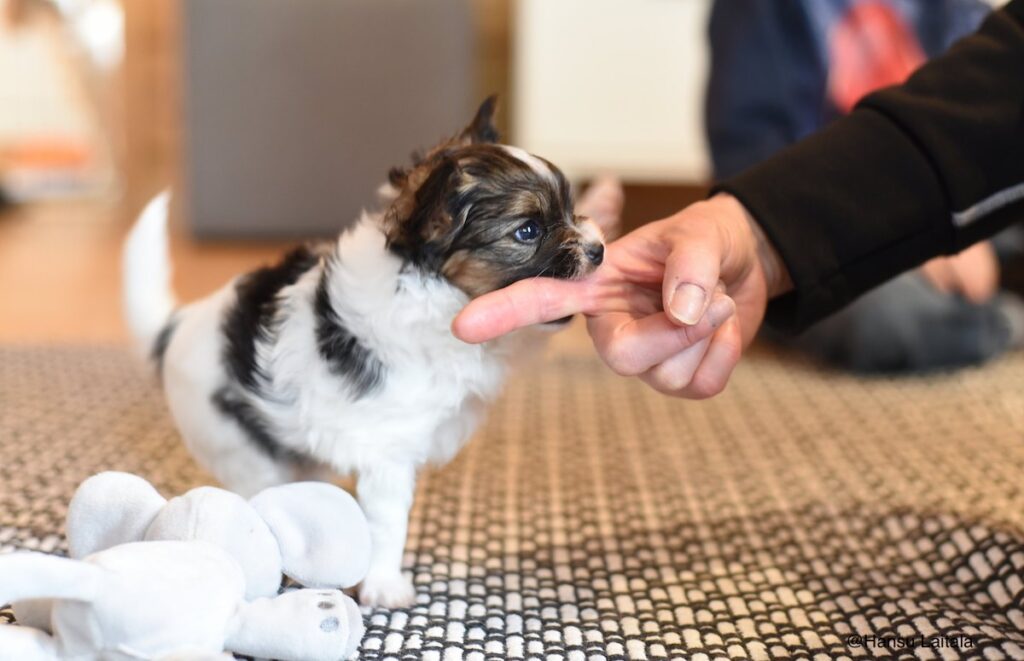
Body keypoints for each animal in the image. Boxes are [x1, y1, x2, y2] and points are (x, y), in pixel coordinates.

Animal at [120, 95, 602, 609]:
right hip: (241, 449)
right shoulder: (387, 454)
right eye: (528, 231)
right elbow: (389, 525)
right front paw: (385, 585)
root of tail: (178, 325)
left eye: (572, 210)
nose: (599, 251)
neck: (435, 296)